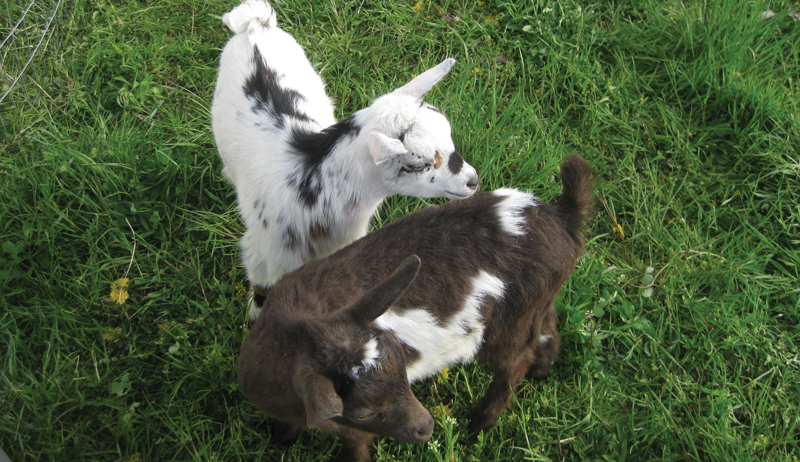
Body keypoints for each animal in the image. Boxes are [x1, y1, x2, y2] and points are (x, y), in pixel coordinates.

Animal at [238, 154, 595, 462]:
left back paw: (479, 423)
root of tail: (562, 216)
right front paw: (280, 439)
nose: (426, 429)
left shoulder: (351, 429)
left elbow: (355, 448)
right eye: (364, 411)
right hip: (537, 301)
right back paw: (541, 371)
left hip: (509, 324)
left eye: (401, 365)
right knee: (547, 328)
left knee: (513, 363)